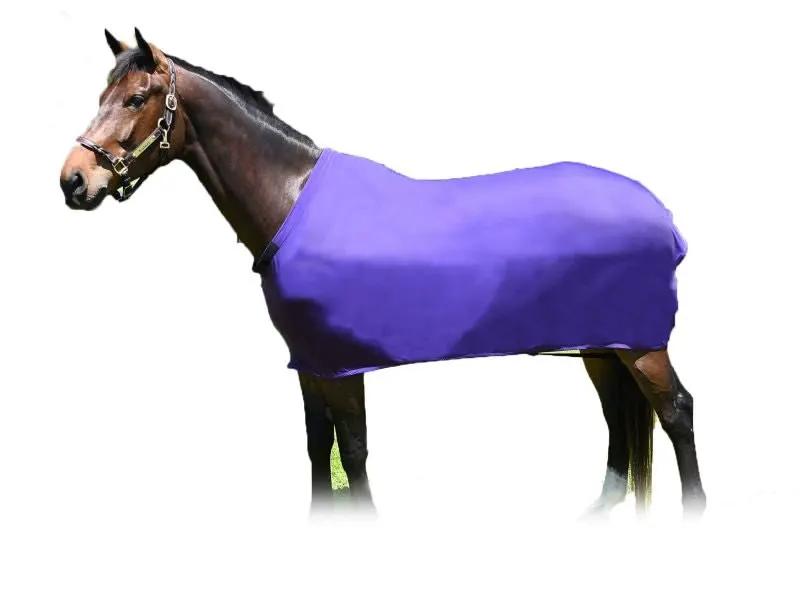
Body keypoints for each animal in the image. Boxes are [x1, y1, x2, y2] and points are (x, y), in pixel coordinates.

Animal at [59, 29, 706, 517]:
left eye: (137, 99)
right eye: (101, 94)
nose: (73, 181)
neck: (290, 200)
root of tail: (662, 213)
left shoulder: (343, 364)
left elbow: (353, 448)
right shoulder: (310, 362)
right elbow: (317, 443)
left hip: (641, 346)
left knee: (676, 411)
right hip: (601, 346)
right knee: (618, 414)